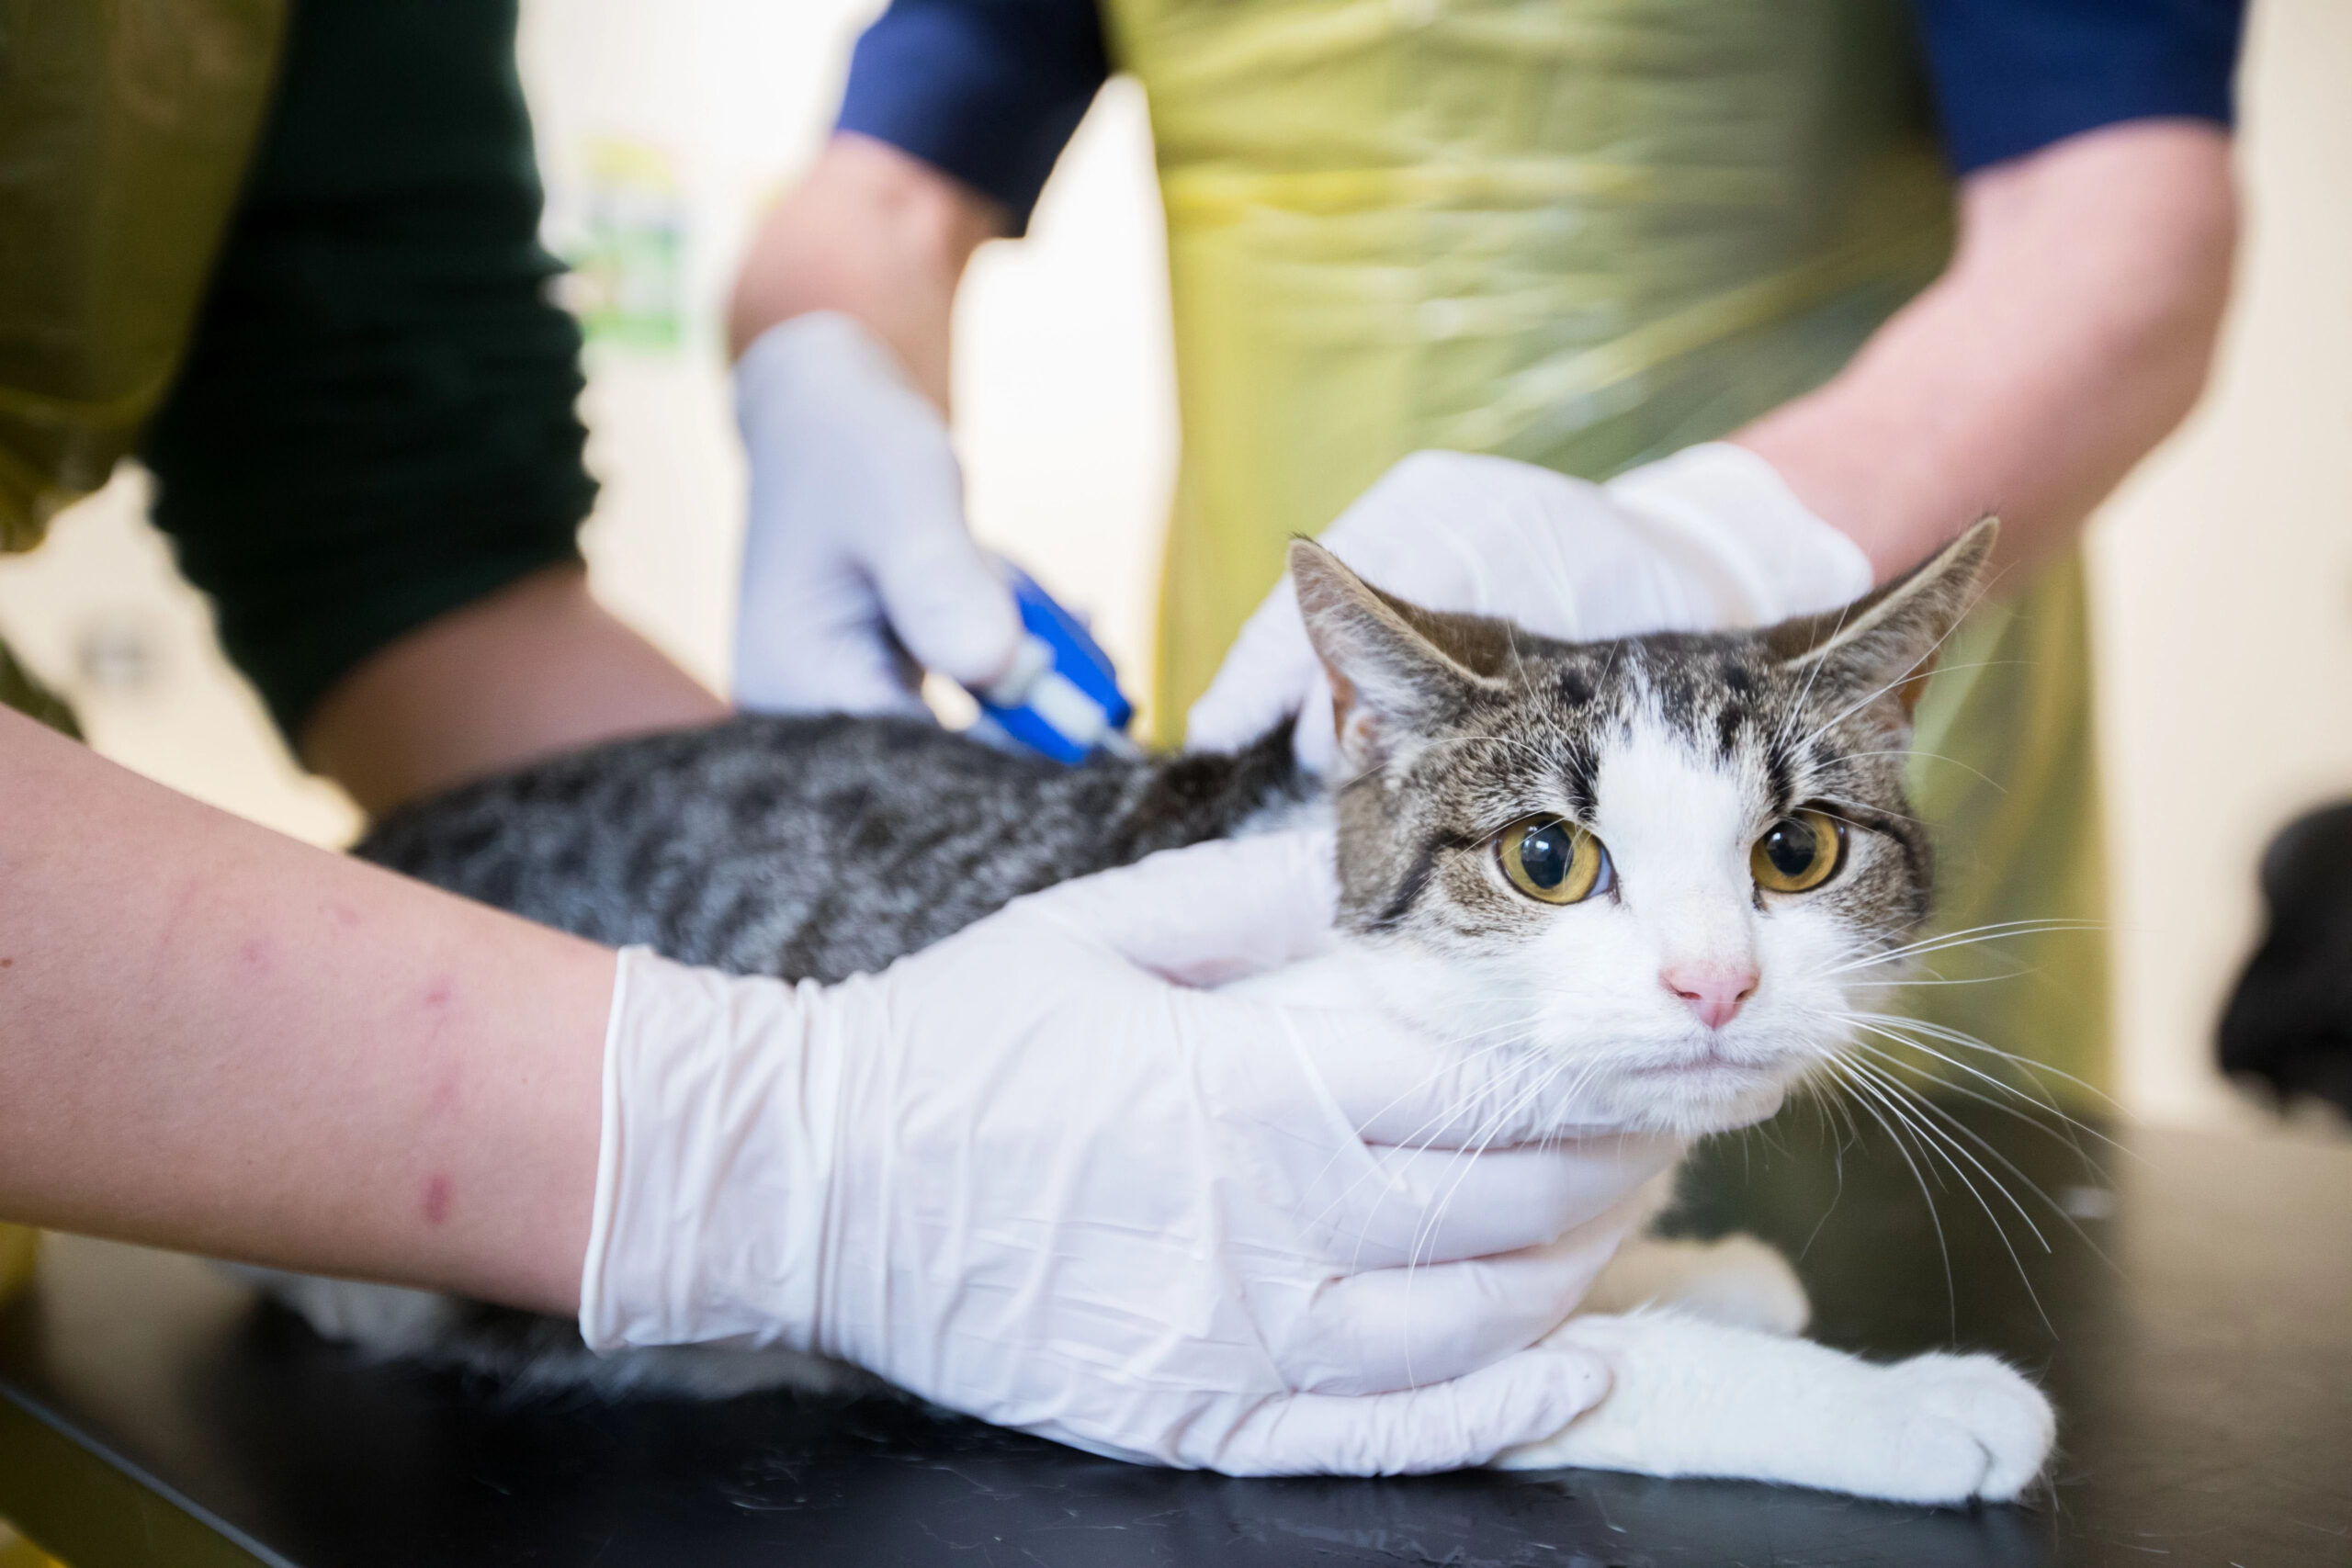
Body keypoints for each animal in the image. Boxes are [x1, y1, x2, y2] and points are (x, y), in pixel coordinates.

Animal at [248, 517, 2060, 1504]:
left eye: (1797, 851)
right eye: (1550, 857)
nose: (1713, 981)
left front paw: (1685, 1258)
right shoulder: (1319, 1361)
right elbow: (1586, 1371)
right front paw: (1901, 1402)